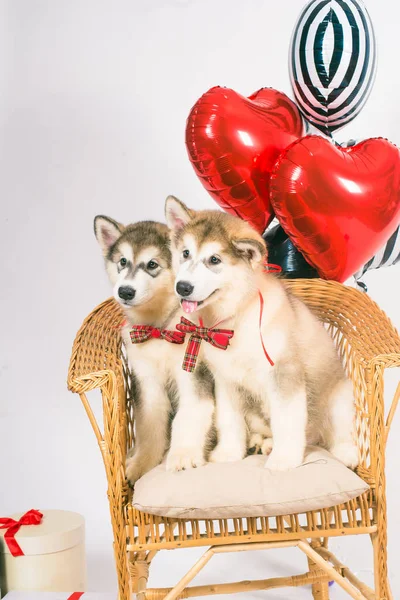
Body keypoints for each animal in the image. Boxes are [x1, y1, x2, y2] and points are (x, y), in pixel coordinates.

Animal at [94, 216, 216, 482]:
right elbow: (149, 426)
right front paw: (142, 463)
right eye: (122, 261)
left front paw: (183, 455)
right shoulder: (146, 381)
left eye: (152, 264)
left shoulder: (192, 376)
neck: (159, 328)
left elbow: (188, 416)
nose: (125, 291)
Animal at [164, 196, 358, 468]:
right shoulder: (226, 380)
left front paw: (284, 460)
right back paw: (262, 444)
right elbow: (229, 420)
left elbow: (287, 419)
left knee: (337, 430)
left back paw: (345, 452)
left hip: (339, 395)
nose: (182, 287)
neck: (234, 321)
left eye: (215, 260)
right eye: (185, 253)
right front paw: (229, 453)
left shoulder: (284, 373)